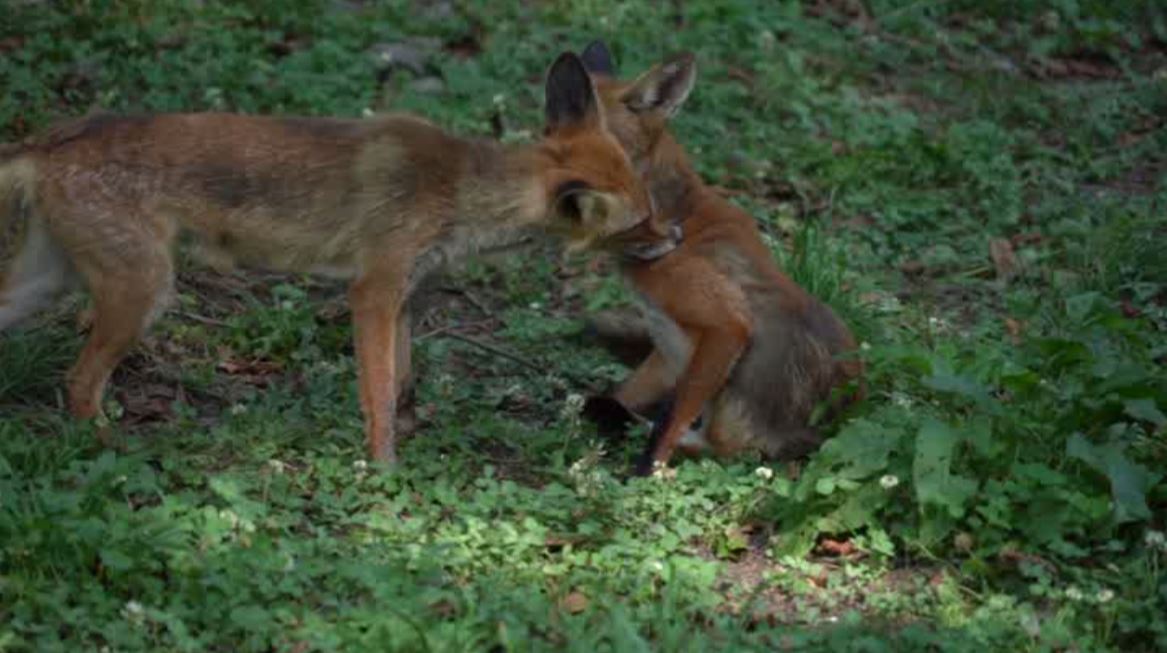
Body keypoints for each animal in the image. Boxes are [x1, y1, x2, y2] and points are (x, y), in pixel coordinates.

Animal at [2, 53, 676, 466]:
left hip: (48, 284)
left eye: (651, 200)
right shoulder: (373, 291)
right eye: (638, 221)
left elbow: (402, 385)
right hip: (145, 292)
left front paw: (405, 441)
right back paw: (110, 446)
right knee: (78, 382)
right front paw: (383, 468)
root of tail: (50, 139)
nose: (673, 236)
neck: (460, 193)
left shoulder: (407, 295)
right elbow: (378, 393)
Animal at [576, 43, 863, 478]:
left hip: (732, 425)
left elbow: (668, 422)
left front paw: (643, 473)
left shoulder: (725, 327)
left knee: (711, 445)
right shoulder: (669, 348)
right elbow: (627, 392)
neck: (677, 217)